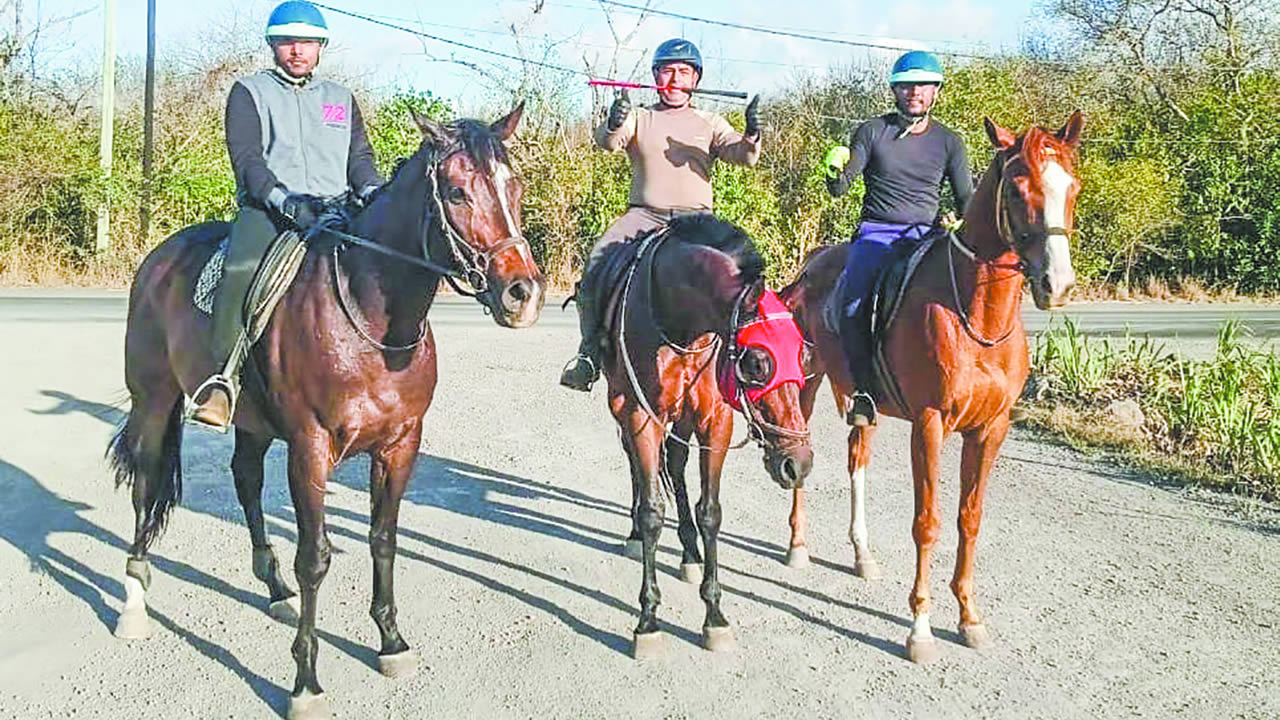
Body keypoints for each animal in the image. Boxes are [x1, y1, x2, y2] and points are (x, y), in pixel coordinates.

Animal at [106, 105, 544, 720]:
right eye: (457, 192)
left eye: (516, 186)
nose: (522, 294)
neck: (371, 320)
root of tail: (159, 258)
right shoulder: (311, 449)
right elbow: (315, 558)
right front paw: (305, 682)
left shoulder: (400, 445)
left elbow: (382, 539)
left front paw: (391, 642)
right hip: (153, 402)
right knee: (147, 489)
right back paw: (133, 604)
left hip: (252, 424)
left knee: (245, 480)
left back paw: (273, 590)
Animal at [601, 214, 814, 659]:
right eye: (757, 362)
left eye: (802, 355)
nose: (798, 463)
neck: (682, 321)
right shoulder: (641, 416)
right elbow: (652, 512)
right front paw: (647, 619)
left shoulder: (715, 423)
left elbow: (710, 512)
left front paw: (714, 614)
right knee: (636, 465)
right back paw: (637, 535)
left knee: (676, 465)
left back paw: (689, 552)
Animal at [778, 112, 1083, 664]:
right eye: (1018, 187)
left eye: (1073, 186)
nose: (1058, 284)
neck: (978, 317)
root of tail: (812, 264)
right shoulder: (930, 424)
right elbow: (928, 521)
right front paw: (919, 627)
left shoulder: (990, 429)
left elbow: (969, 519)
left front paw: (968, 617)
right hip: (806, 385)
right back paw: (797, 546)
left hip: (862, 404)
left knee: (857, 460)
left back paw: (862, 554)